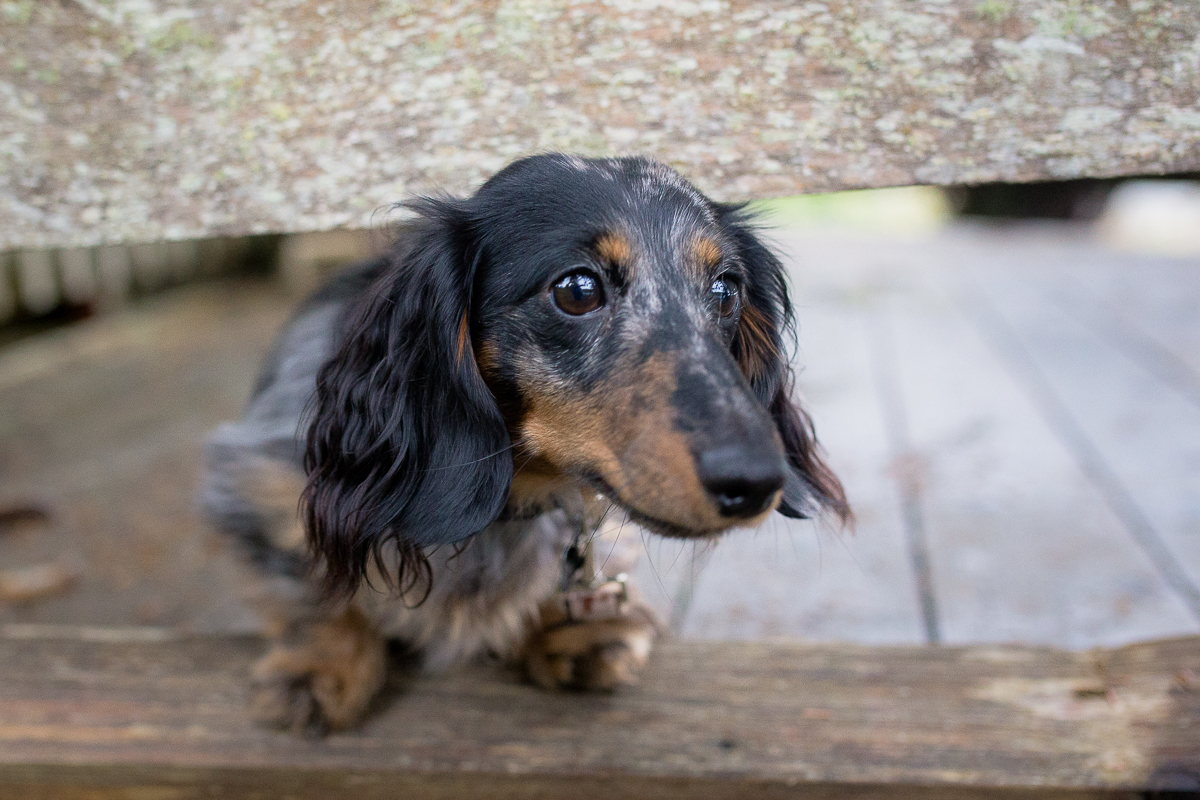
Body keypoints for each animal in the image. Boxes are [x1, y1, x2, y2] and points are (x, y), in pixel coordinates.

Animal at [201, 153, 849, 734]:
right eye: (577, 289)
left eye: (725, 290)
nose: (756, 481)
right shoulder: (257, 481)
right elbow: (311, 583)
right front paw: (320, 665)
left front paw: (566, 629)